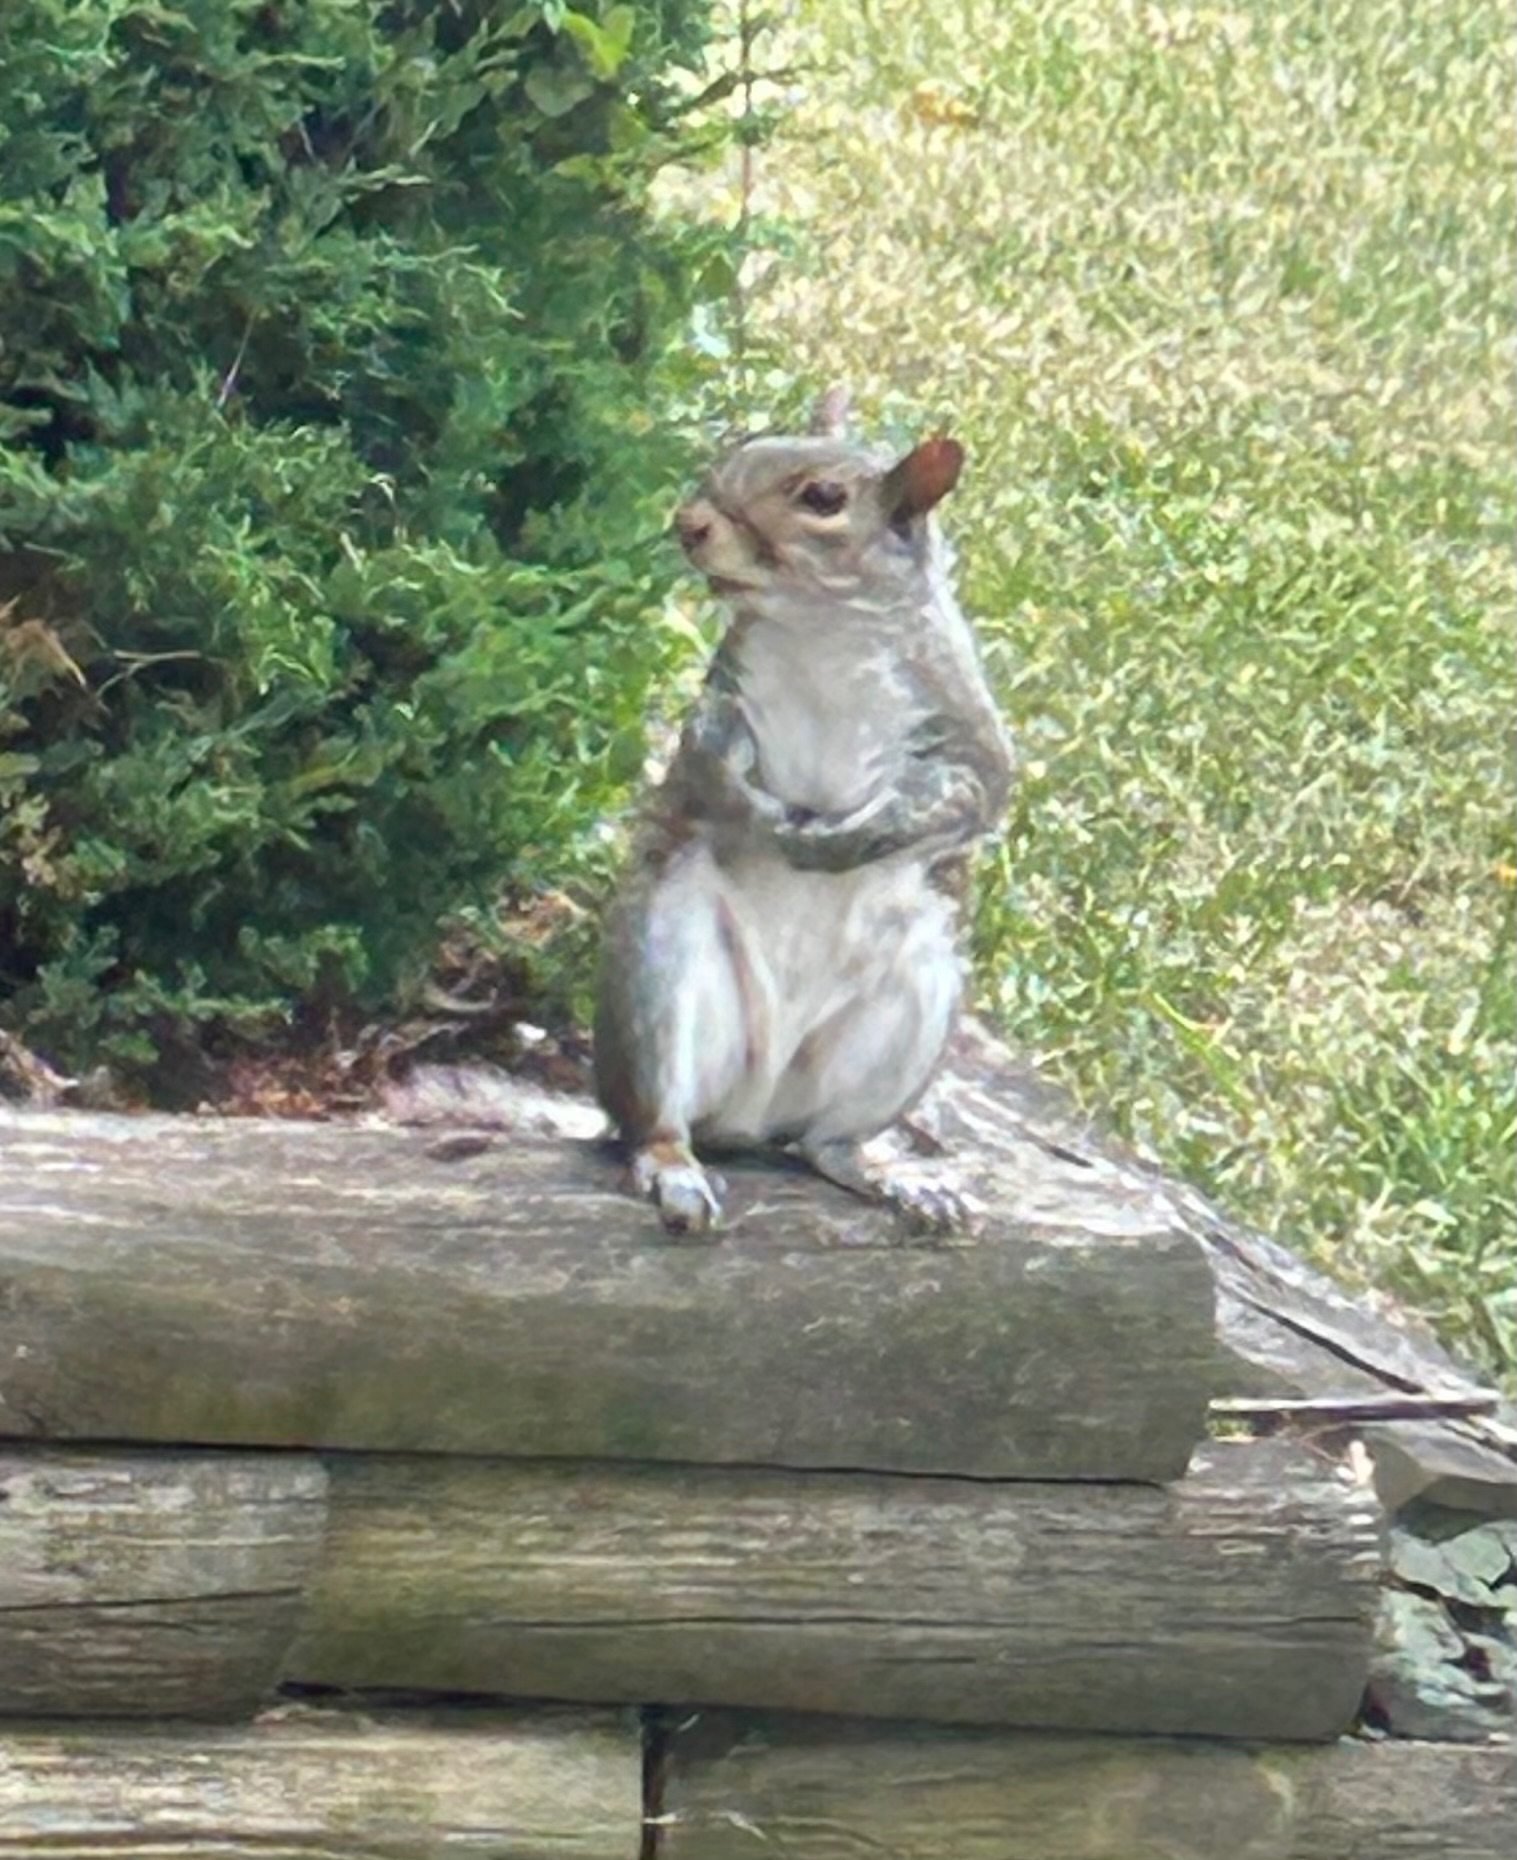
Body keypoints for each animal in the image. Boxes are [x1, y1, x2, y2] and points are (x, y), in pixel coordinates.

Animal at [598, 388, 1011, 1235]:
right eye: (740, 450)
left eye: (823, 498)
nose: (689, 522)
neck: (821, 630)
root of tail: (749, 1117)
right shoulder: (720, 708)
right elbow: (712, 768)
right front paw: (765, 823)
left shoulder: (965, 734)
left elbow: (966, 795)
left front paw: (839, 842)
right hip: (657, 971)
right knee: (656, 1119)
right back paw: (673, 1169)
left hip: (909, 1020)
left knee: (826, 1146)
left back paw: (895, 1180)